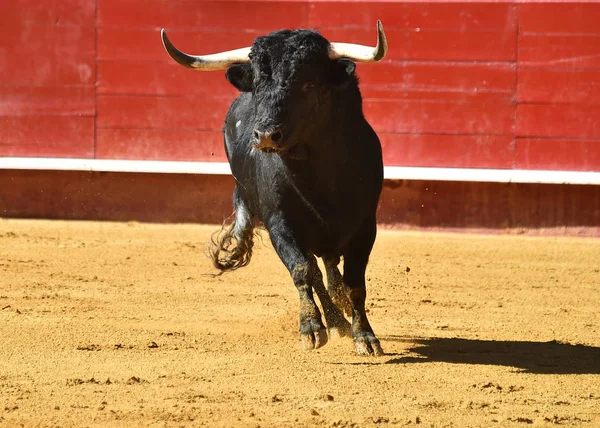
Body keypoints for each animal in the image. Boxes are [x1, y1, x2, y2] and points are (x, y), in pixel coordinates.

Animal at [162, 22, 390, 354]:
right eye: (258, 84)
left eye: (309, 84)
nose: (266, 135)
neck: (318, 178)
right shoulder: (279, 223)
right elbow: (303, 270)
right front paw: (311, 328)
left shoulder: (365, 226)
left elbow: (355, 283)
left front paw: (366, 337)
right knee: (316, 269)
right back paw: (334, 322)